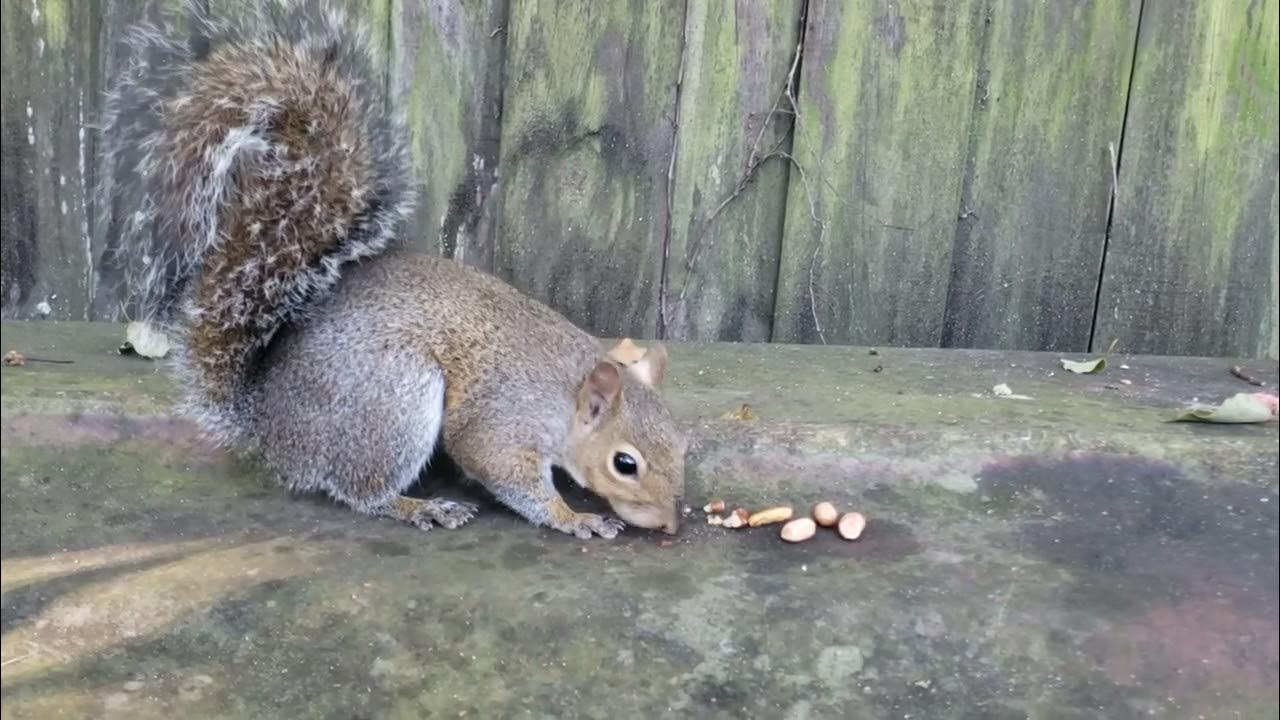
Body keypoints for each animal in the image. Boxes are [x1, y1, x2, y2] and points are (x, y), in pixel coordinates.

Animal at [102, 0, 686, 538]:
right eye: (625, 464)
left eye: (685, 445)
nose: (669, 524)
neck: (567, 391)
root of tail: (268, 427)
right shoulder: (504, 421)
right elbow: (501, 468)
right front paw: (572, 517)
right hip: (396, 399)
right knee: (360, 491)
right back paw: (418, 506)